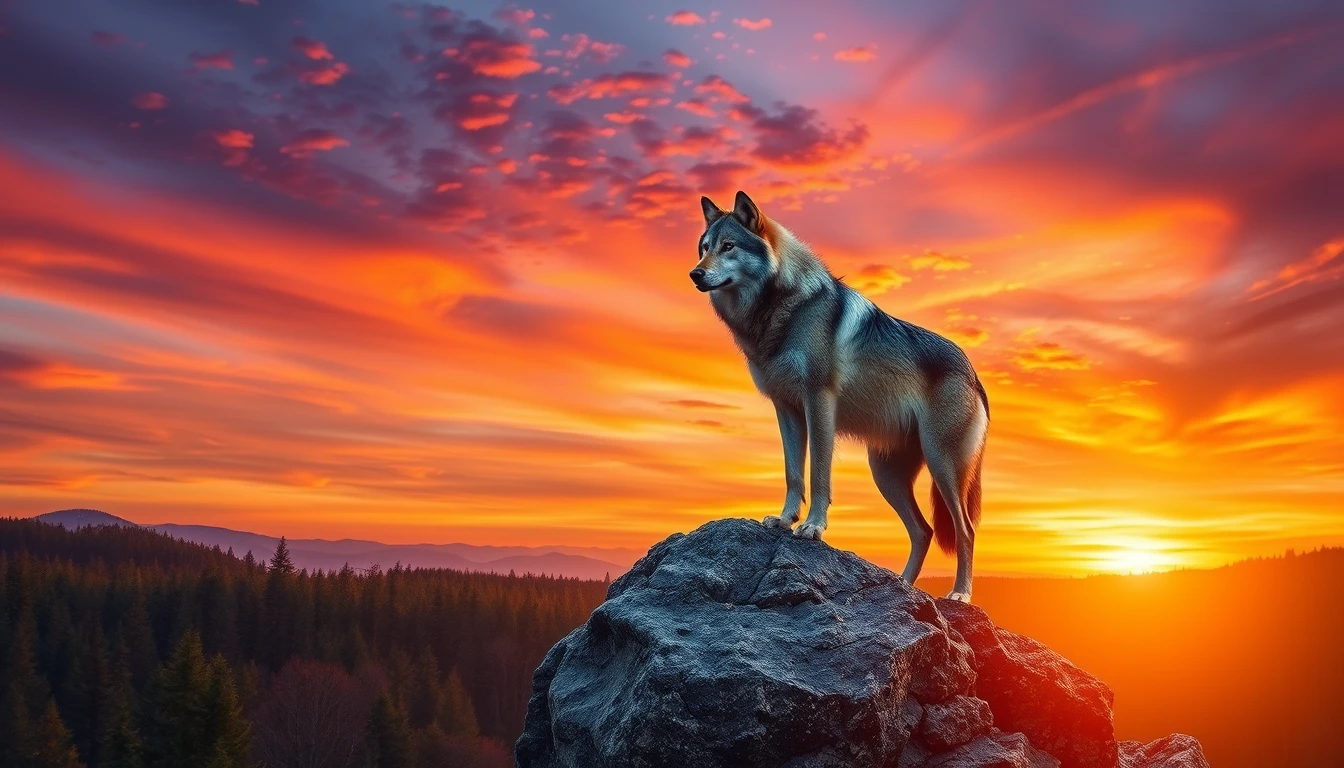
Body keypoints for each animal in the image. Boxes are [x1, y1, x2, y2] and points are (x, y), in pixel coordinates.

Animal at [691, 191, 990, 602]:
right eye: (704, 248)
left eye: (729, 246)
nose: (695, 274)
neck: (785, 308)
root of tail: (974, 374)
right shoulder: (786, 409)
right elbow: (793, 473)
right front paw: (784, 521)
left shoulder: (819, 401)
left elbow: (818, 472)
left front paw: (813, 527)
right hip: (886, 474)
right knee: (923, 530)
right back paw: (901, 586)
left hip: (942, 465)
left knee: (966, 530)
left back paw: (959, 594)